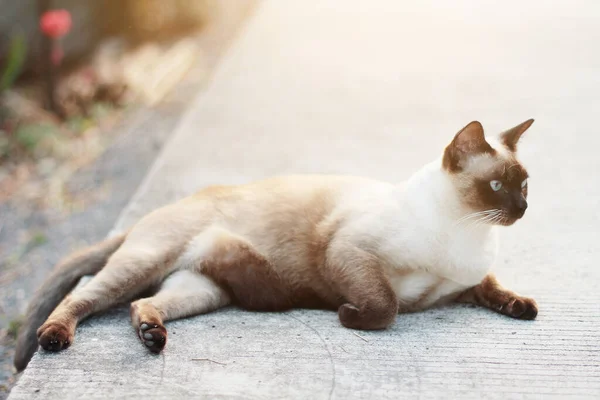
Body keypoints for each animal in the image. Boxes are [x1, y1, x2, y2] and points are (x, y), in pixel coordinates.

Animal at [14, 119, 540, 372]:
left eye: (525, 185)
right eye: (496, 187)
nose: (522, 209)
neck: (468, 231)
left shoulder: (468, 281)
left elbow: (495, 289)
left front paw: (523, 308)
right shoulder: (351, 252)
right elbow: (385, 307)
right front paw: (348, 316)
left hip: (202, 291)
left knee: (142, 305)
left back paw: (152, 337)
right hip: (144, 263)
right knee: (81, 297)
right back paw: (55, 339)